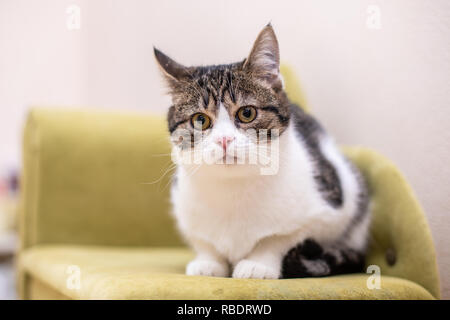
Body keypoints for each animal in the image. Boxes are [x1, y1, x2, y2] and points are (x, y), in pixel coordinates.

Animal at [154, 23, 370, 278]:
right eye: (200, 120)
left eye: (247, 113)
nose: (224, 139)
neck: (233, 188)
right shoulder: (185, 210)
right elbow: (204, 242)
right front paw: (208, 262)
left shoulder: (330, 208)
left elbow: (280, 238)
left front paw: (258, 263)